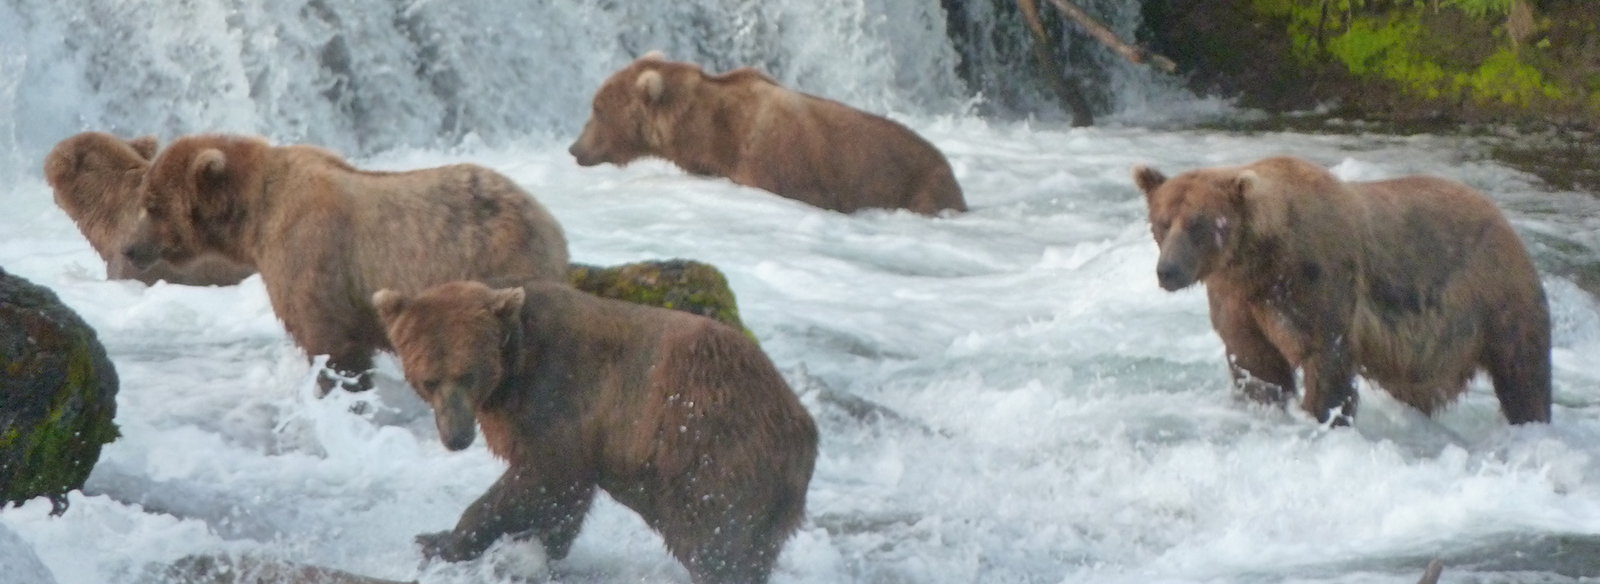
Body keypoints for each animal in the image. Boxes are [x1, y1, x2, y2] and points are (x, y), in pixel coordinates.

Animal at [128, 132, 572, 392]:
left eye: (152, 203)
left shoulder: (311, 256)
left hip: (496, 264)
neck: (254, 217)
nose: (131, 249)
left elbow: (331, 344)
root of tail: (548, 221)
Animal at [371, 278, 812, 582]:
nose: (456, 436)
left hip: (713, 452)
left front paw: (441, 540)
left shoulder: (559, 398)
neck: (513, 371)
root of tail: (803, 424)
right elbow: (562, 502)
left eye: (468, 374)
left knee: (718, 542)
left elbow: (544, 477)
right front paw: (530, 553)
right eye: (429, 379)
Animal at [1132, 156, 1555, 422]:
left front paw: (1321, 414)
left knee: (1522, 371)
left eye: (1199, 225)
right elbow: (1256, 363)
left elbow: (1325, 358)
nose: (1168, 271)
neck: (1258, 260)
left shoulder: (1315, 281)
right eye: (1162, 221)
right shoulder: (1237, 298)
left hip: (1494, 294)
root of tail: (1502, 217)